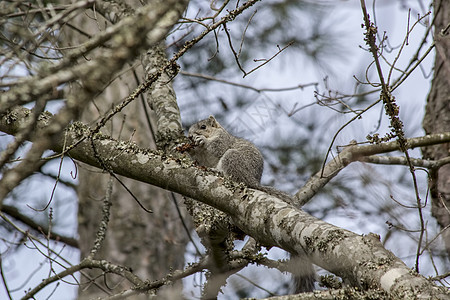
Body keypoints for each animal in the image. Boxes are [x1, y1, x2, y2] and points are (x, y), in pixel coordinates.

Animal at [188, 115, 314, 292]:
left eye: (203, 127)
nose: (190, 135)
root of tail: (252, 181)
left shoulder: (222, 141)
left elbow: (216, 148)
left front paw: (202, 140)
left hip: (232, 158)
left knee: (232, 174)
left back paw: (218, 172)